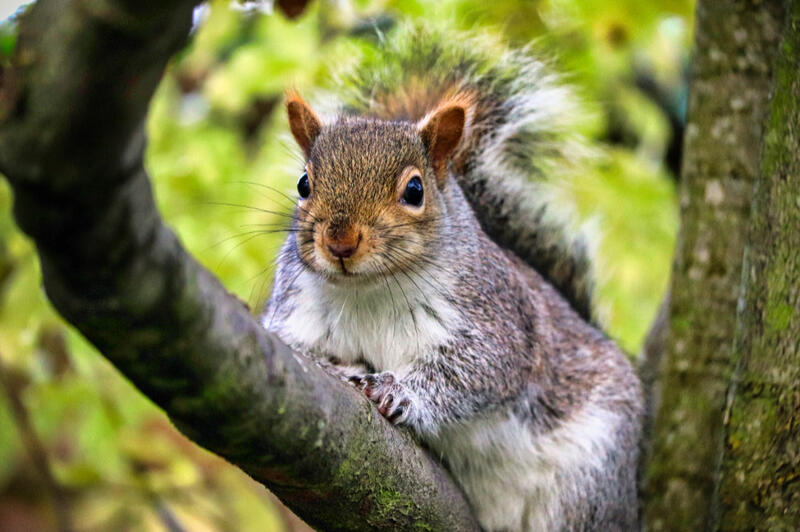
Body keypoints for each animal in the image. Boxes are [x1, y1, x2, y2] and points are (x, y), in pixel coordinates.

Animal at [262, 26, 642, 532]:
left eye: (415, 190)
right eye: (303, 184)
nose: (340, 241)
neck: (370, 291)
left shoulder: (496, 317)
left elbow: (478, 369)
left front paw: (398, 391)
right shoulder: (291, 313)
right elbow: (294, 347)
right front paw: (341, 368)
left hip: (592, 484)